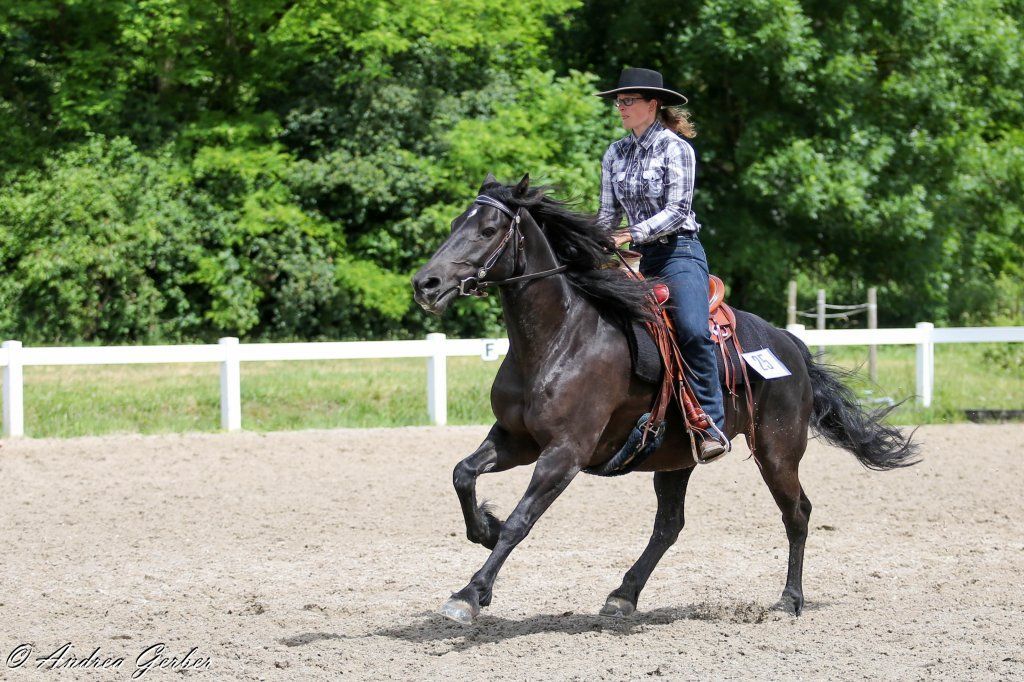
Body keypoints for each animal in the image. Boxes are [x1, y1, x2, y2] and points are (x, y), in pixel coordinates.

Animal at [411, 174, 918, 625]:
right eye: (455, 222)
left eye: (488, 230)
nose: (426, 284)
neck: (560, 339)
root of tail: (789, 343)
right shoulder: (516, 439)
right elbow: (462, 474)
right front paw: (486, 528)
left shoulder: (564, 453)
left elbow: (522, 520)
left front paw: (470, 594)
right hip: (677, 458)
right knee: (669, 526)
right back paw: (623, 596)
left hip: (777, 452)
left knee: (797, 513)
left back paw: (789, 600)